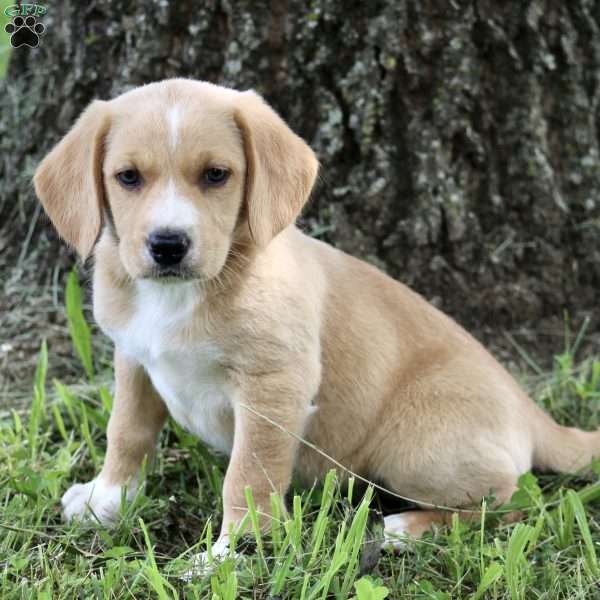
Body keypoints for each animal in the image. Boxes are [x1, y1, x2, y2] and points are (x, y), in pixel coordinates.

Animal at [34, 78, 600, 556]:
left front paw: (232, 556)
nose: (168, 245)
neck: (182, 294)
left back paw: (406, 528)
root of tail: (530, 410)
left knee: (512, 501)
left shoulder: (273, 386)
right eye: (128, 177)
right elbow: (126, 432)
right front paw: (107, 499)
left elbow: (248, 476)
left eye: (216, 175)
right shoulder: (133, 357)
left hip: (416, 451)